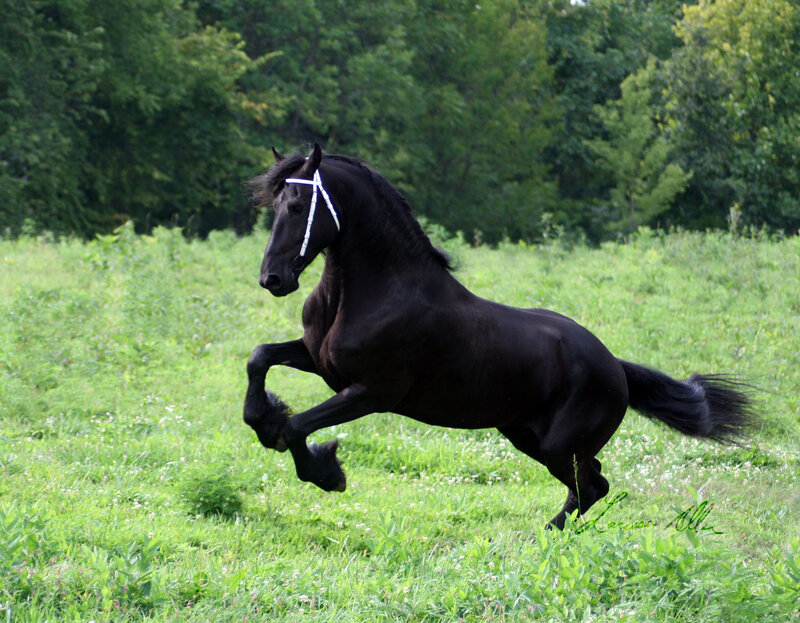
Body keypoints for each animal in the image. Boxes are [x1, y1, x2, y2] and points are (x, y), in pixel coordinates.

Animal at [243, 144, 754, 529]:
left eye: (296, 206)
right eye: (273, 206)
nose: (273, 279)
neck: (376, 290)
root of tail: (617, 367)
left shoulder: (371, 392)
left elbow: (298, 427)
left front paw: (327, 471)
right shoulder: (319, 360)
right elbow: (259, 358)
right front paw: (265, 418)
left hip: (558, 447)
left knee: (591, 486)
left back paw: (546, 535)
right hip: (526, 436)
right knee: (594, 484)